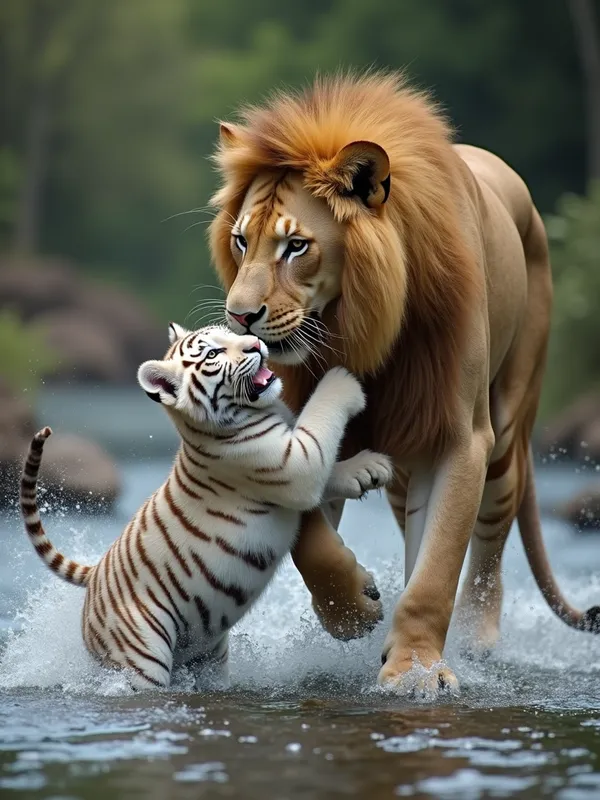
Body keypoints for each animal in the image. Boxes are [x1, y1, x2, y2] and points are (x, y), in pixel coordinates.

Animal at [19, 323, 393, 690]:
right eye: (213, 353)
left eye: (229, 332)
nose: (255, 344)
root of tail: (94, 573)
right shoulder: (294, 463)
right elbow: (320, 416)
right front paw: (345, 380)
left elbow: (331, 468)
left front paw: (369, 470)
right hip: (143, 656)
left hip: (208, 655)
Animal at [208, 70, 600, 695]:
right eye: (242, 241)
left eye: (296, 246)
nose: (239, 317)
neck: (358, 331)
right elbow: (311, 540)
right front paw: (352, 611)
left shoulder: (461, 436)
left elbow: (438, 568)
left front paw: (415, 669)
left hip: (505, 431)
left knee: (487, 543)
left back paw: (476, 639)